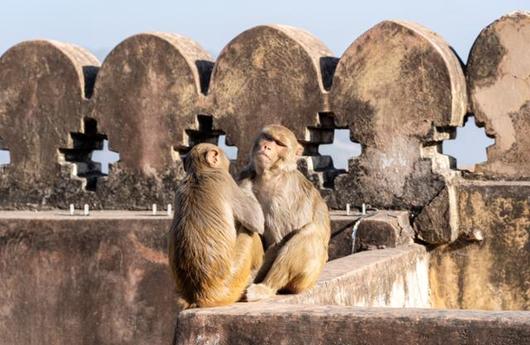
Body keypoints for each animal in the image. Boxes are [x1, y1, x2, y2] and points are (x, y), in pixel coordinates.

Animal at [167, 141, 262, 308]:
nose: (228, 166)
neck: (198, 171)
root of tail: (198, 296)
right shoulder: (225, 180)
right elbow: (256, 220)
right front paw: (247, 175)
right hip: (233, 279)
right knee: (249, 232)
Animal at [239, 125, 330, 300]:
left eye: (280, 144)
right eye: (268, 138)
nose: (266, 146)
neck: (270, 176)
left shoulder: (282, 198)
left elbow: (278, 241)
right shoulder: (243, 175)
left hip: (307, 278)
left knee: (310, 232)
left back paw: (265, 288)